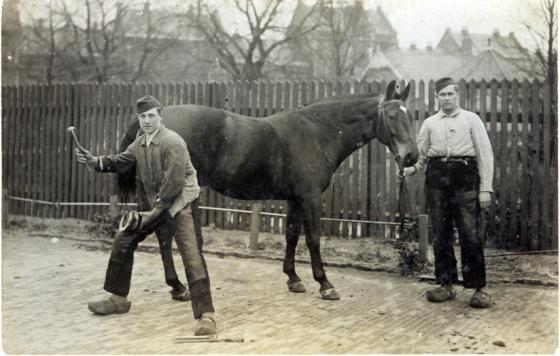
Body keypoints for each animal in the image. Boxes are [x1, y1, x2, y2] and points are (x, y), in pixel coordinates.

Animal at [118, 80, 418, 300]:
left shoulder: (295, 199)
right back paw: (180, 286)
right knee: (164, 233)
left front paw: (294, 279)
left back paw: (177, 286)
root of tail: (152, 123)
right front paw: (325, 284)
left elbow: (292, 236)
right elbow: (313, 239)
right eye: (392, 115)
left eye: (410, 117)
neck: (318, 131)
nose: (411, 157)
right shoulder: (310, 198)